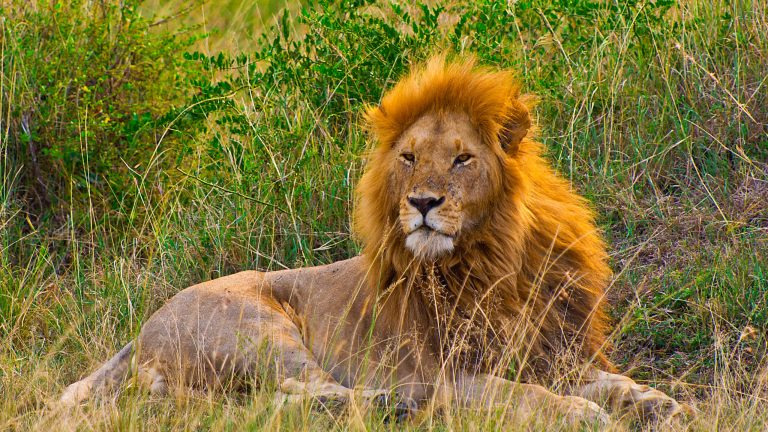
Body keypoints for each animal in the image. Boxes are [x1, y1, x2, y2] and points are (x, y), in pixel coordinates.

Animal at [60, 55, 687, 424]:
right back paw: (396, 403)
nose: (422, 204)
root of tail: (143, 326)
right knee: (304, 391)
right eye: (408, 157)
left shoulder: (549, 349)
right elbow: (519, 394)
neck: (497, 260)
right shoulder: (450, 371)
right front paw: (581, 413)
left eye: (462, 158)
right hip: (257, 329)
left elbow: (609, 380)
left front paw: (654, 401)